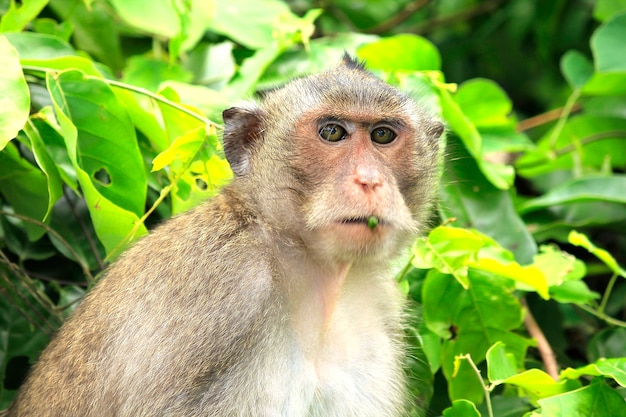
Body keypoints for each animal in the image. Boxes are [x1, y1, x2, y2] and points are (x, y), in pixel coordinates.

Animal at [7, 56, 442, 416]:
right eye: (333, 132)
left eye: (383, 136)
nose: (369, 180)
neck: (309, 266)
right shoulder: (219, 287)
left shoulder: (382, 315)